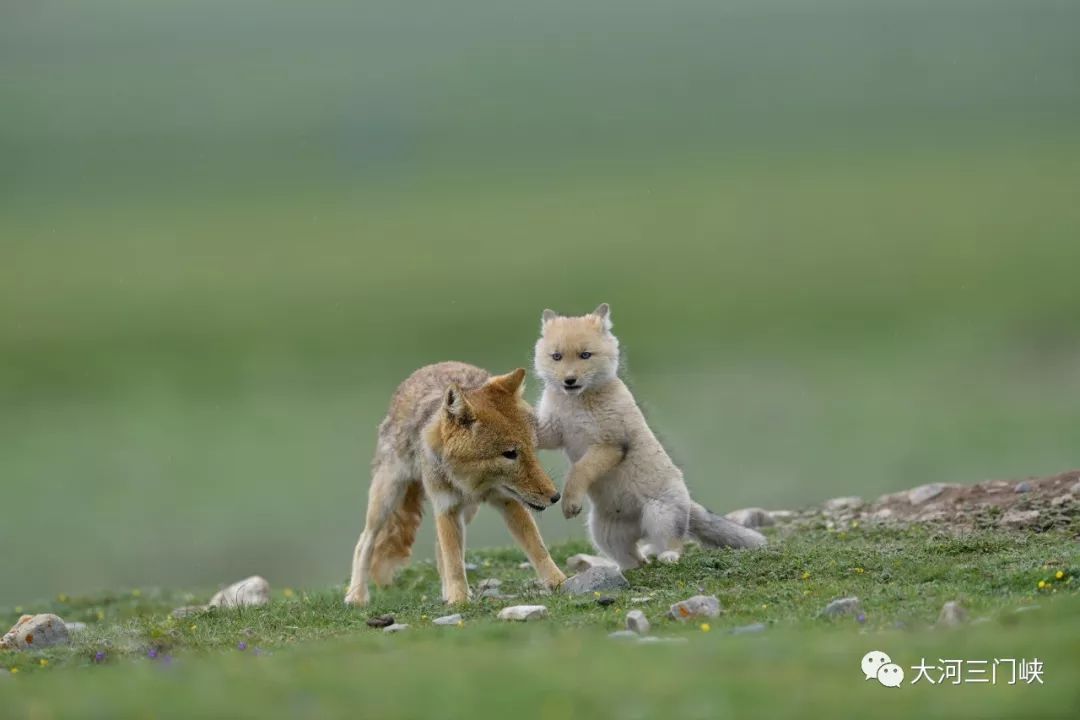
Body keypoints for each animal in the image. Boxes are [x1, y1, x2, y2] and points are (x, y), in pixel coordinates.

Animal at [343, 362, 565, 604]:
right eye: (509, 454)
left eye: (533, 449)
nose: (555, 496)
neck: (472, 483)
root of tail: (428, 368)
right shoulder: (445, 507)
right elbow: (454, 562)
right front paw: (459, 600)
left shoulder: (508, 502)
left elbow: (538, 548)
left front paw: (560, 582)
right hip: (386, 499)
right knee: (364, 541)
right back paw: (356, 596)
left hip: (466, 513)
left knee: (439, 549)